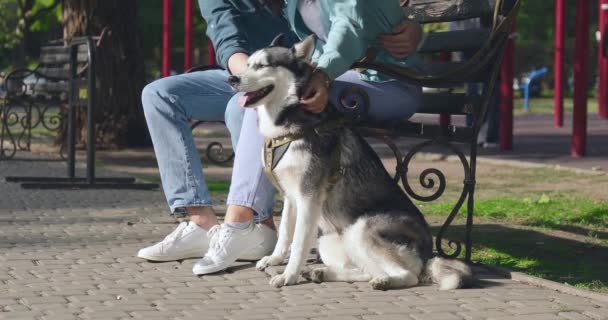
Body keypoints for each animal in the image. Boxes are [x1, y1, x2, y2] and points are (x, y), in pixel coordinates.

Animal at [230, 35, 472, 290]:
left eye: (263, 65)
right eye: (247, 64)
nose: (232, 79)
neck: (291, 121)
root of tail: (428, 256)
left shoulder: (308, 197)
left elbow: (298, 243)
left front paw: (288, 275)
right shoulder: (290, 195)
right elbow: (286, 232)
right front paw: (275, 259)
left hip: (362, 229)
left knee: (409, 275)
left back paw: (384, 281)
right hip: (330, 241)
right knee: (366, 270)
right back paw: (323, 273)